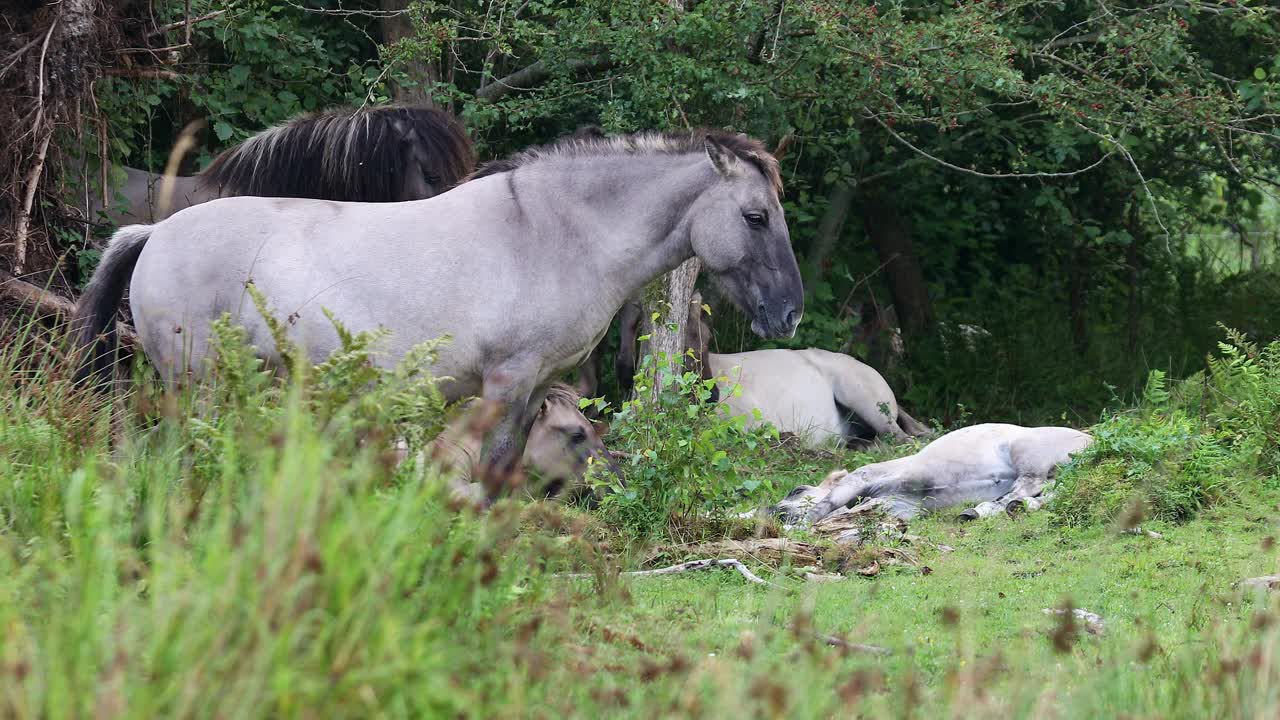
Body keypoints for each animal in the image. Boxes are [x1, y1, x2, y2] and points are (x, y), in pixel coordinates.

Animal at [72, 128, 798, 491]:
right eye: (755, 216)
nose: (789, 314)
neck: (553, 232)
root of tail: (155, 233)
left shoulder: (536, 385)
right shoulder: (507, 381)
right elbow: (490, 472)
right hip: (196, 382)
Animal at [768, 420, 1090, 520]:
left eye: (796, 490)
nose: (772, 510)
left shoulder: (868, 476)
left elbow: (828, 503)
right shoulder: (901, 507)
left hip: (1026, 451)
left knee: (1027, 484)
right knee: (1043, 493)